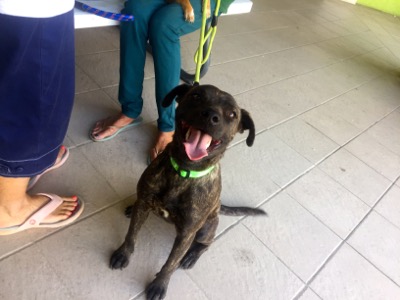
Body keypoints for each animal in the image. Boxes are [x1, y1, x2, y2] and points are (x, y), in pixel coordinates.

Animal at [109, 84, 266, 300]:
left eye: (232, 114)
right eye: (196, 96)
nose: (211, 116)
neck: (183, 172)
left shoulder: (186, 234)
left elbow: (171, 263)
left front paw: (159, 284)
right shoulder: (145, 203)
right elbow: (131, 234)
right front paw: (123, 253)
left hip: (205, 230)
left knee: (206, 244)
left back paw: (192, 256)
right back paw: (132, 208)